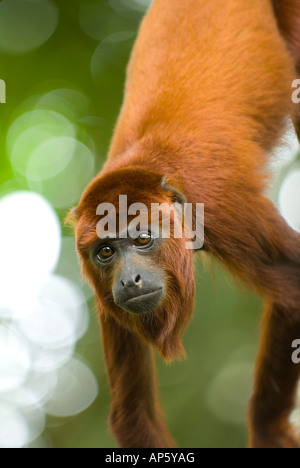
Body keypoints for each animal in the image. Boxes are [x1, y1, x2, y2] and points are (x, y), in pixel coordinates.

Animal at [70, 0, 300, 450]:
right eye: (105, 251)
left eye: (143, 239)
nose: (129, 280)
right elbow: (133, 414)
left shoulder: (223, 208)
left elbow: (295, 285)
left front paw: (269, 428)